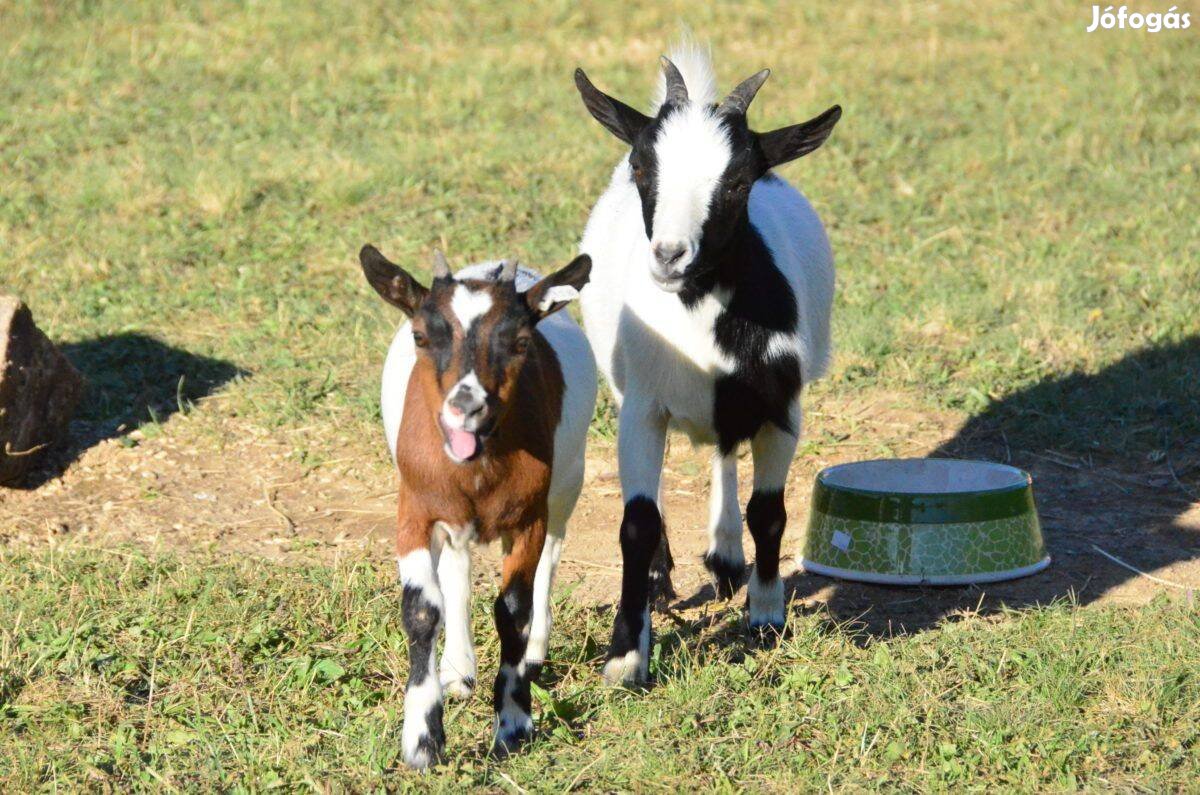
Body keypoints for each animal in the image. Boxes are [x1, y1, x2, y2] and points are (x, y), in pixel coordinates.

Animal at [573, 46, 840, 686]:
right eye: (642, 168)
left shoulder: (781, 406)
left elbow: (768, 513)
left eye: (740, 182)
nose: (670, 256)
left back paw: (725, 557)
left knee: (725, 450)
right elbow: (637, 525)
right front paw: (626, 656)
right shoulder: (641, 408)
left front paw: (765, 616)